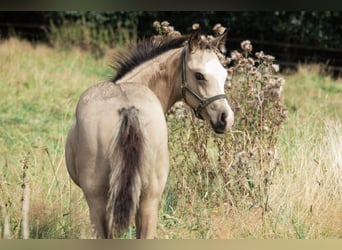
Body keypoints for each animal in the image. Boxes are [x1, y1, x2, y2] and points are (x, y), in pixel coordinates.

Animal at [64, 28, 235, 239]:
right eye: (199, 75)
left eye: (224, 74)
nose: (226, 118)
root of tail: (128, 108)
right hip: (149, 200)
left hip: (99, 201)